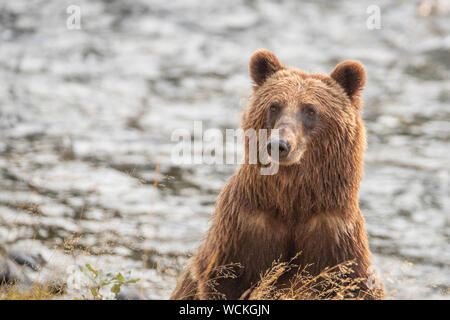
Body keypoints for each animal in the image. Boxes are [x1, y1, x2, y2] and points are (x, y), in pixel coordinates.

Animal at [171, 49, 384, 300]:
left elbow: (353, 284)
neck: (291, 202)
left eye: (310, 110)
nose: (279, 144)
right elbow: (224, 281)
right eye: (274, 105)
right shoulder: (244, 231)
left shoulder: (335, 238)